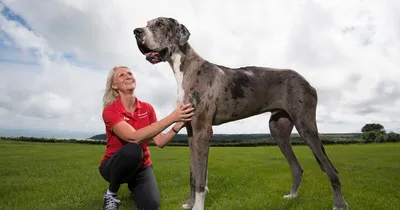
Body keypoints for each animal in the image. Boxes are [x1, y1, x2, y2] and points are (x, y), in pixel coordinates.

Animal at [133, 17, 348, 210]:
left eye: (160, 24)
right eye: (147, 23)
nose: (136, 31)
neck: (186, 67)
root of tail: (307, 81)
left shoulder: (203, 131)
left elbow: (201, 179)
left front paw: (198, 207)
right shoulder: (191, 132)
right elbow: (193, 176)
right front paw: (190, 204)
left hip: (306, 126)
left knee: (331, 169)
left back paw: (339, 204)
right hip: (278, 129)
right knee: (297, 168)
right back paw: (292, 197)